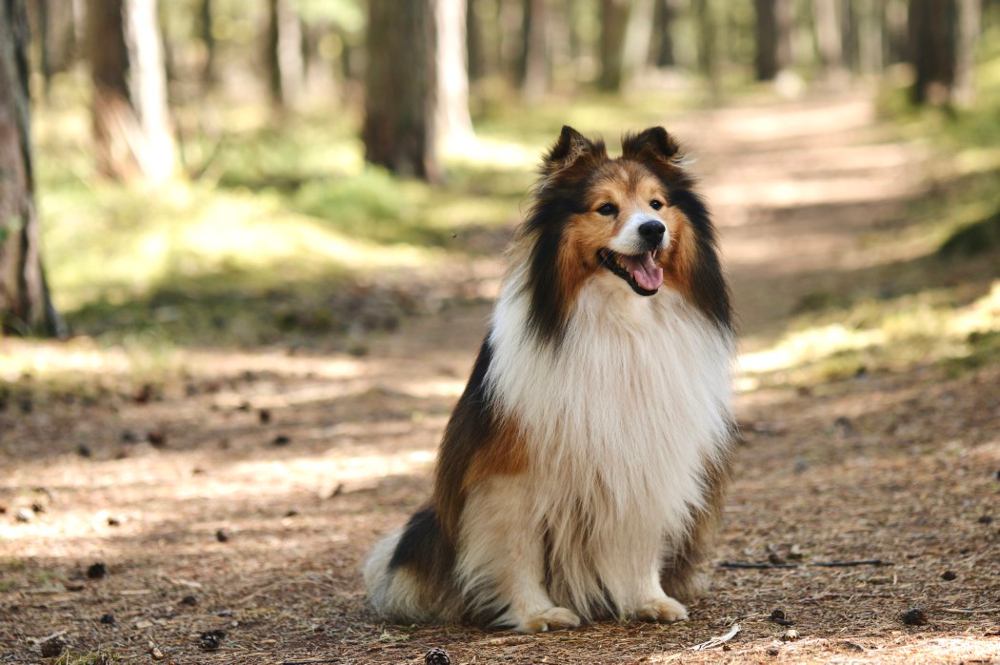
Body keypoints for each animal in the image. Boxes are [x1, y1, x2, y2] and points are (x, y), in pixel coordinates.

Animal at [366, 126, 736, 632]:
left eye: (657, 204)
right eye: (606, 208)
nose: (653, 230)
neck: (620, 322)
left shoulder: (645, 457)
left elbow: (638, 538)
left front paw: (648, 599)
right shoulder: (510, 470)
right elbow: (516, 547)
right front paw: (535, 613)